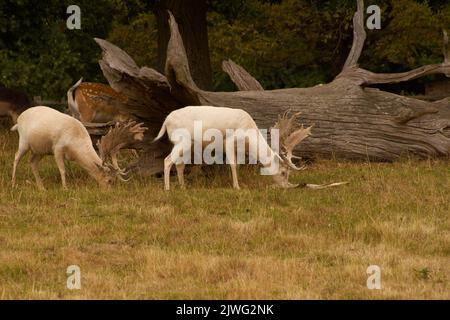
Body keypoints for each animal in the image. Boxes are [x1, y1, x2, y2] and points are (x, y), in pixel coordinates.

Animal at [11, 106, 146, 189]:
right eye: (109, 180)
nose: (109, 191)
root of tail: (19, 119)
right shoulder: (57, 148)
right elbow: (63, 170)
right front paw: (65, 188)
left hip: (40, 150)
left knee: (32, 162)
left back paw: (41, 187)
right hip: (23, 142)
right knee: (16, 157)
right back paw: (13, 182)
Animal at [154, 106, 334, 190]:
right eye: (283, 172)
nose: (287, 186)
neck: (249, 136)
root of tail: (166, 121)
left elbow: (239, 165)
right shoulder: (228, 141)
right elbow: (233, 164)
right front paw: (237, 187)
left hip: (188, 143)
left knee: (179, 164)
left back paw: (183, 187)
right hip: (181, 140)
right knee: (167, 160)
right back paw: (167, 188)